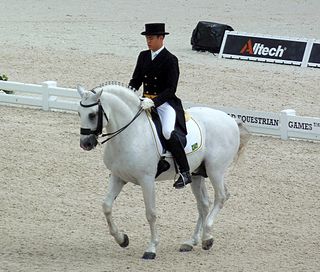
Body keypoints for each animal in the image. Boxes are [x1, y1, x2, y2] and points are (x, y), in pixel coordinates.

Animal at [76, 83, 249, 260]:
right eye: (79, 113)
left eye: (92, 114)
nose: (85, 143)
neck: (131, 134)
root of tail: (230, 119)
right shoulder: (117, 177)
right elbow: (106, 206)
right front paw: (122, 239)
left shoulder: (147, 180)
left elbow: (151, 214)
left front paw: (151, 248)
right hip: (196, 174)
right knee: (203, 204)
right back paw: (192, 242)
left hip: (216, 170)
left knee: (221, 197)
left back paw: (207, 238)